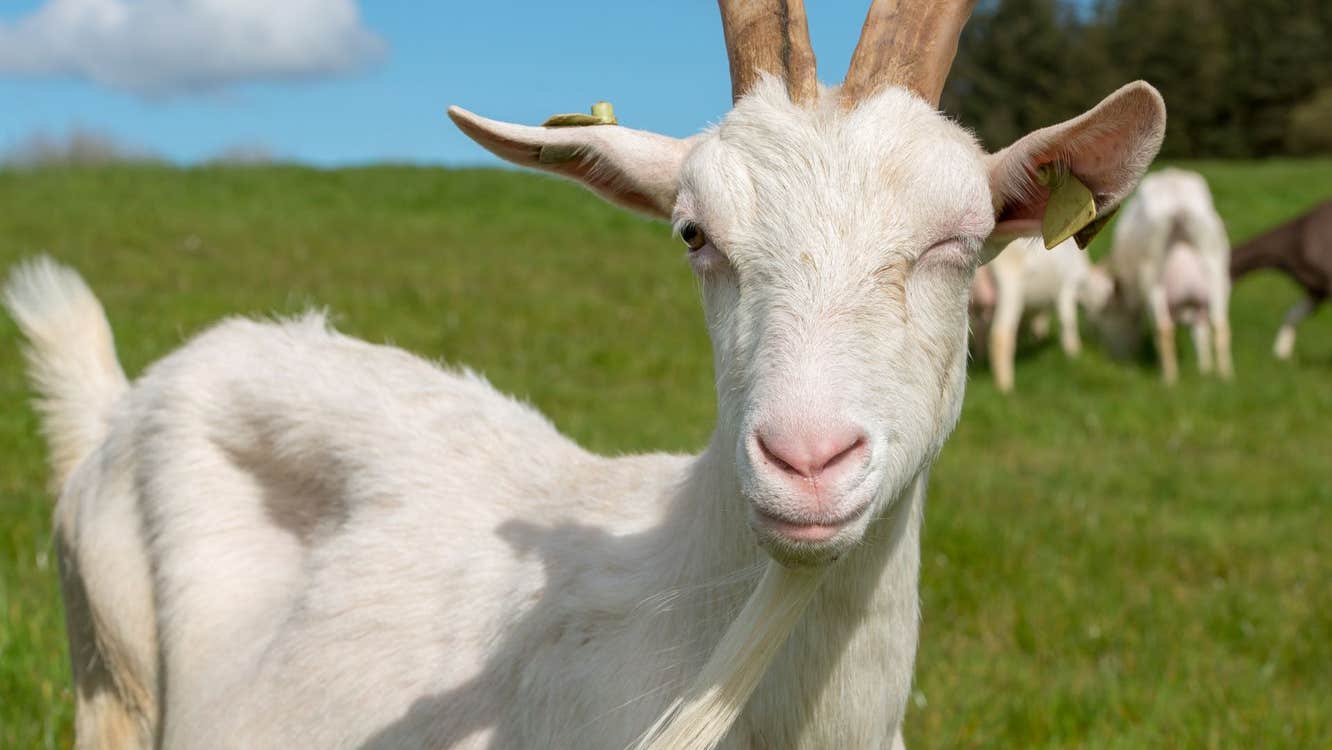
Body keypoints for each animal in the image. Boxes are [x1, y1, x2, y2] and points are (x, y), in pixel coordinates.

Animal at [971, 236, 1114, 392]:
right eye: (1107, 291)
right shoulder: (1067, 286)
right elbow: (1067, 320)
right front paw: (1073, 353)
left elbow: (1038, 320)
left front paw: (1038, 338)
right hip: (1010, 286)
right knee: (1001, 335)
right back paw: (1006, 386)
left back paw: (979, 361)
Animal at [1104, 168, 1233, 383]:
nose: (1116, 357)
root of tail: (1177, 201)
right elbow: (1201, 335)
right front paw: (1205, 370)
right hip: (1216, 273)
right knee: (1219, 326)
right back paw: (1224, 376)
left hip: (1152, 281)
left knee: (1164, 330)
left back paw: (1169, 380)